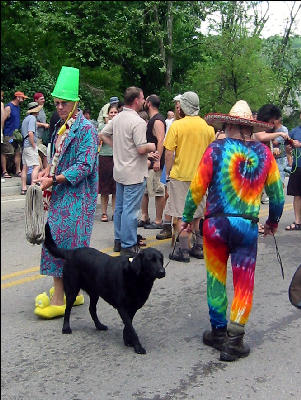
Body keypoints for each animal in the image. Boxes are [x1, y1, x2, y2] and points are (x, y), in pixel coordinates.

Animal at [43, 223, 165, 354]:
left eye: (160, 260)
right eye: (150, 260)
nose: (162, 272)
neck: (136, 276)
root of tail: (71, 252)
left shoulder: (132, 308)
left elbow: (128, 326)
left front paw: (127, 340)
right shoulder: (122, 307)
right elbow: (131, 328)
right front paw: (138, 346)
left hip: (94, 292)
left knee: (91, 309)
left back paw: (99, 326)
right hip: (72, 290)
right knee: (67, 309)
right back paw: (66, 328)